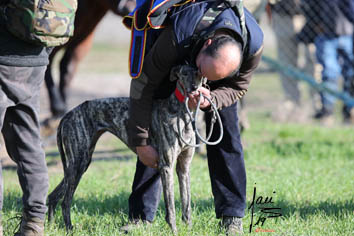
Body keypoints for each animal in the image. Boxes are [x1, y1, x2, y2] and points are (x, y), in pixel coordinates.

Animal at [47, 64, 202, 232]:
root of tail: (67, 115)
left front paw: (189, 229)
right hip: (77, 164)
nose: (194, 88)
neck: (180, 112)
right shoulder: (166, 167)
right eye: (184, 74)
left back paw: (50, 226)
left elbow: (186, 204)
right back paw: (69, 228)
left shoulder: (183, 167)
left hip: (79, 164)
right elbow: (171, 207)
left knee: (53, 196)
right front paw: (174, 230)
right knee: (65, 201)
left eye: (198, 73)